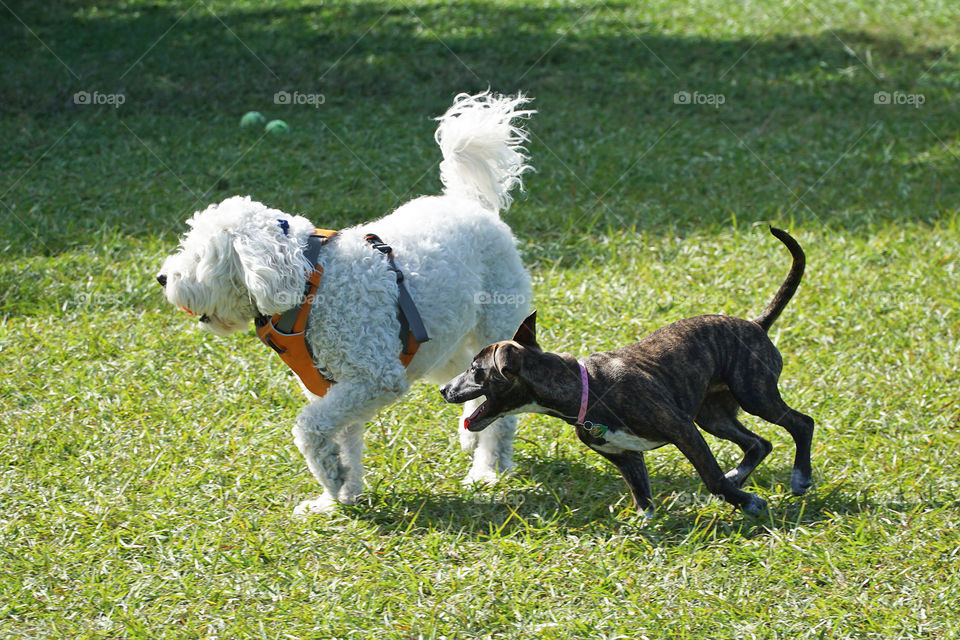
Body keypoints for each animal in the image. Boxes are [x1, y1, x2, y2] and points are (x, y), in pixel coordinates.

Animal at [158, 92, 532, 516]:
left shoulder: (372, 378)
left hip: (495, 325)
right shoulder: (335, 386)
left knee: (502, 411)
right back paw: (471, 432)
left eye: (199, 255)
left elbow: (309, 427)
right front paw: (339, 494)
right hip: (444, 345)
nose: (162, 278)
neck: (311, 281)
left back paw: (488, 470)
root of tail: (470, 204)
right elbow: (343, 440)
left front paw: (333, 480)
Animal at [438, 228, 812, 516]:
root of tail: (756, 324)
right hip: (713, 415)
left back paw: (799, 477)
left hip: (754, 394)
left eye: (476, 371)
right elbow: (641, 494)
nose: (443, 390)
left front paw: (747, 503)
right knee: (759, 443)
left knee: (801, 423)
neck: (586, 390)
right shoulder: (626, 455)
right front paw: (642, 528)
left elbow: (710, 476)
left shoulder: (683, 430)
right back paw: (741, 476)